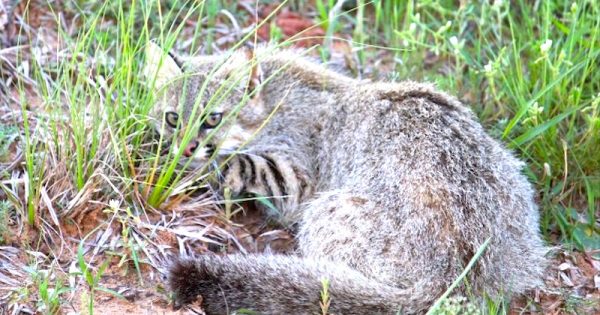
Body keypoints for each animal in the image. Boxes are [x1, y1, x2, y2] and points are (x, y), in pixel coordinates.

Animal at [142, 42, 548, 315]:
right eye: (173, 118)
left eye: (212, 118)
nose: (187, 147)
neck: (274, 93)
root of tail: (458, 278)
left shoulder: (294, 176)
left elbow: (233, 162)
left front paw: (182, 166)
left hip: (329, 210)